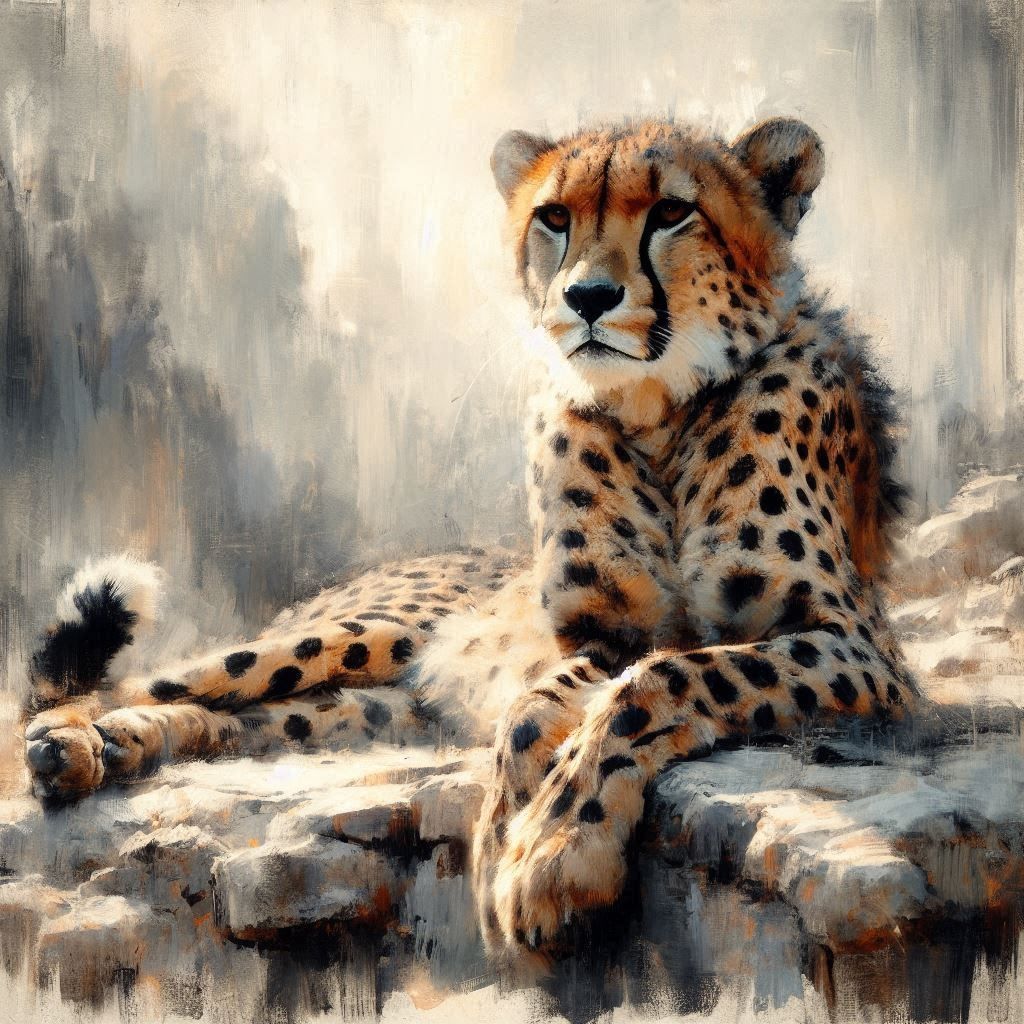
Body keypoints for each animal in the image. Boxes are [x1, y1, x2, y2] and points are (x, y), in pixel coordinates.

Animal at [20, 115, 914, 960]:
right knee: (134, 687)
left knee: (245, 718)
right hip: (354, 634)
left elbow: (656, 683)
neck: (657, 414)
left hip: (376, 709)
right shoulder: (602, 638)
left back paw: (109, 747)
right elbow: (534, 710)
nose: (588, 296)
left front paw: (552, 854)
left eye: (671, 212)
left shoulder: (856, 647)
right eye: (554, 217)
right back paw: (71, 740)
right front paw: (514, 842)